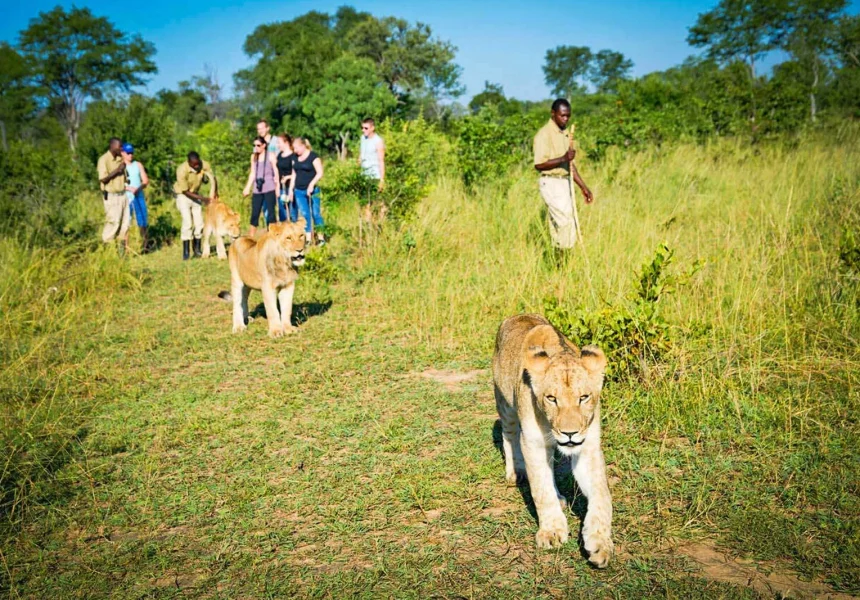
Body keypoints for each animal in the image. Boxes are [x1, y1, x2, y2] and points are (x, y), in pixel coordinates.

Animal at [492, 314, 613, 568]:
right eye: (551, 398)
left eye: (583, 397)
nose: (570, 433)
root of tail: (517, 315)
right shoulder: (533, 443)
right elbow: (541, 489)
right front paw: (551, 532)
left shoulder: (588, 447)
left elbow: (602, 495)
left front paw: (600, 542)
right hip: (505, 403)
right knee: (509, 435)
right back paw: (516, 472)